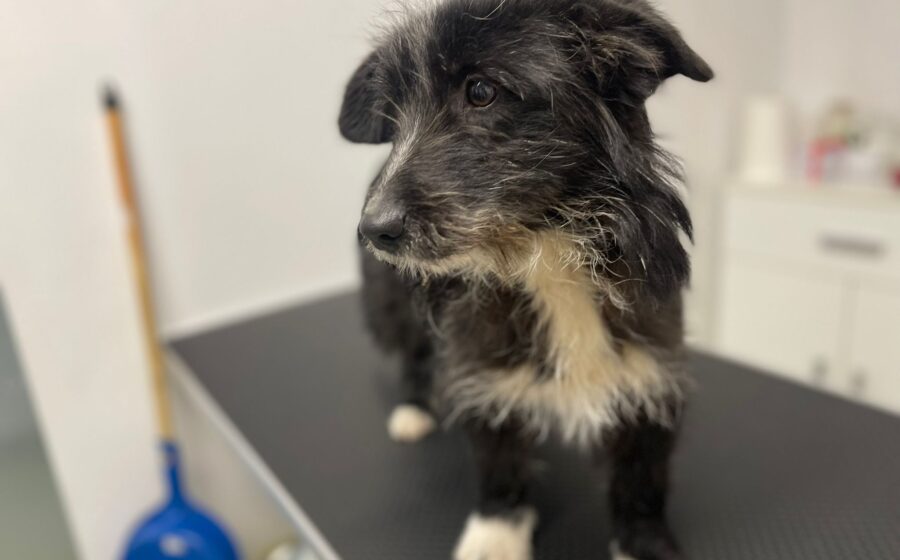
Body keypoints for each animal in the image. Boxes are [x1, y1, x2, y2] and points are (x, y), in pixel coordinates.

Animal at [339, 1, 712, 558]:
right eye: (392, 116)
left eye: (480, 91)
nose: (373, 230)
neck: (545, 250)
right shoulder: (480, 366)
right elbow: (499, 459)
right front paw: (496, 531)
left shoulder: (652, 369)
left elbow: (643, 476)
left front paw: (644, 542)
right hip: (393, 309)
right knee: (414, 355)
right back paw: (414, 409)